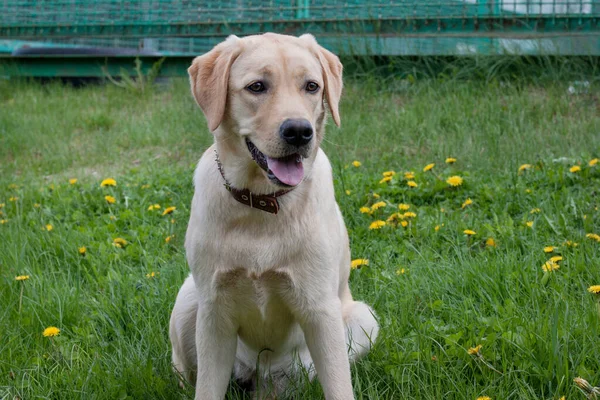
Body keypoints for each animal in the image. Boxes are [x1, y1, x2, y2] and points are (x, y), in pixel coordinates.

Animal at [169, 32, 378, 398]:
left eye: (311, 86)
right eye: (256, 86)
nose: (299, 131)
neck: (262, 203)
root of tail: (260, 377)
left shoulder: (320, 310)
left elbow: (340, 387)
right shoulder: (214, 313)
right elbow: (206, 388)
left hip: (362, 319)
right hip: (190, 299)